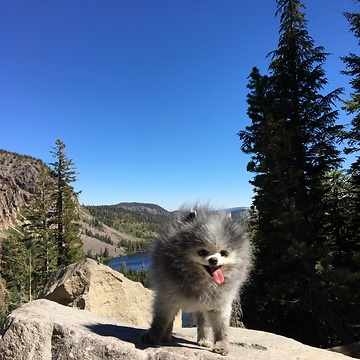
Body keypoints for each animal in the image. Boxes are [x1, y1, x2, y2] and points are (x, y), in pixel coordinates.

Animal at [141, 204, 250, 356]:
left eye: (224, 253)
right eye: (202, 252)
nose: (214, 260)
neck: (200, 281)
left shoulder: (218, 305)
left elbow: (221, 328)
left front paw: (221, 345)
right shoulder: (167, 298)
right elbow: (161, 320)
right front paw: (153, 336)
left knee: (202, 323)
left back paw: (203, 340)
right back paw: (166, 336)